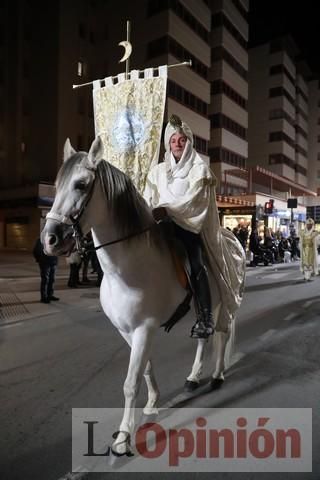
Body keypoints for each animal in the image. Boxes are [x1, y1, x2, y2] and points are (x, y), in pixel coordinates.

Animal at [41, 137, 244, 456]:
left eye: (81, 184)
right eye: (58, 183)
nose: (49, 240)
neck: (126, 269)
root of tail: (232, 236)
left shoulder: (144, 328)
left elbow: (130, 381)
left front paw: (124, 437)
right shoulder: (127, 331)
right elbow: (145, 369)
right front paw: (152, 403)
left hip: (225, 300)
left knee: (222, 336)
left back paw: (217, 375)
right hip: (208, 307)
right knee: (204, 337)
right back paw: (193, 378)